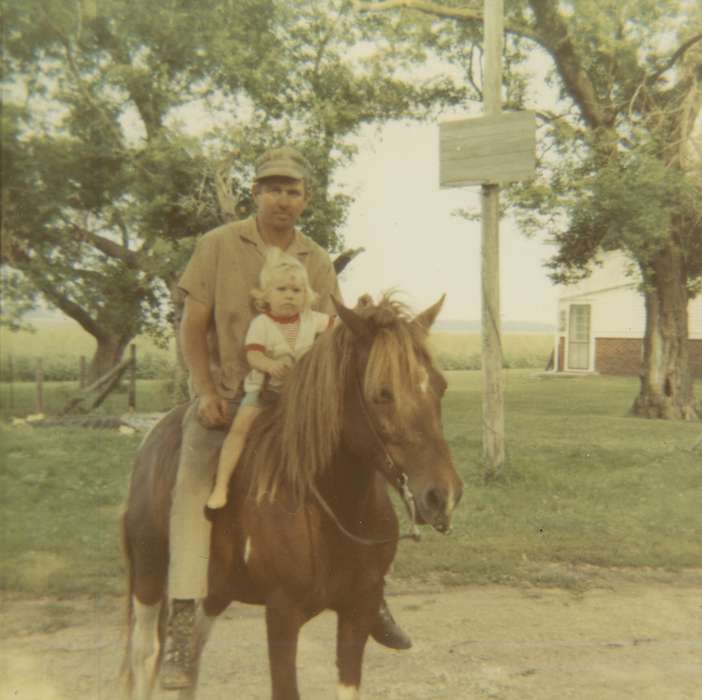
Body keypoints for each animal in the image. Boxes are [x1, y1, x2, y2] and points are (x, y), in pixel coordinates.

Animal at [122, 294, 462, 700]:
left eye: (441, 386)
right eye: (382, 392)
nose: (443, 496)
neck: (331, 504)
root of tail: (150, 437)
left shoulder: (358, 610)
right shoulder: (281, 614)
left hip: (215, 590)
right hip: (149, 575)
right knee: (145, 655)